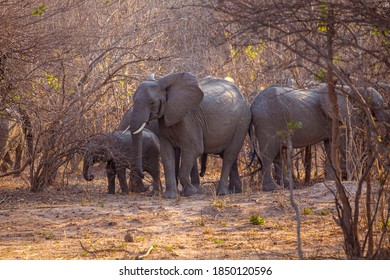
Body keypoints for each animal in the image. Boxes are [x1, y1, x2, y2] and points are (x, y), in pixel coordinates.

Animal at [251, 84, 388, 191]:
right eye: (377, 105)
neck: (353, 88)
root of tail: (252, 104)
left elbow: (331, 146)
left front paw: (331, 180)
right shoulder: (338, 117)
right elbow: (343, 144)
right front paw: (357, 178)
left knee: (277, 155)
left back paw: (287, 187)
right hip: (268, 122)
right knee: (269, 154)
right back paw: (272, 188)